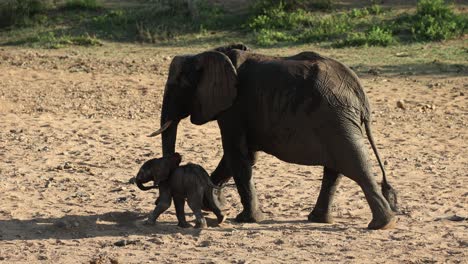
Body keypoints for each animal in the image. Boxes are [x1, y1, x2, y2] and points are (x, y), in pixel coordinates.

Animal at [148, 43, 396, 229]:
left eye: (179, 84)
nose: (159, 195)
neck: (210, 54)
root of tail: (359, 92)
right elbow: (240, 157)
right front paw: (211, 203)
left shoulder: (234, 107)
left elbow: (236, 155)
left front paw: (246, 219)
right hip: (338, 120)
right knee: (336, 168)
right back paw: (322, 219)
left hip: (335, 118)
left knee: (354, 164)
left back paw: (381, 224)